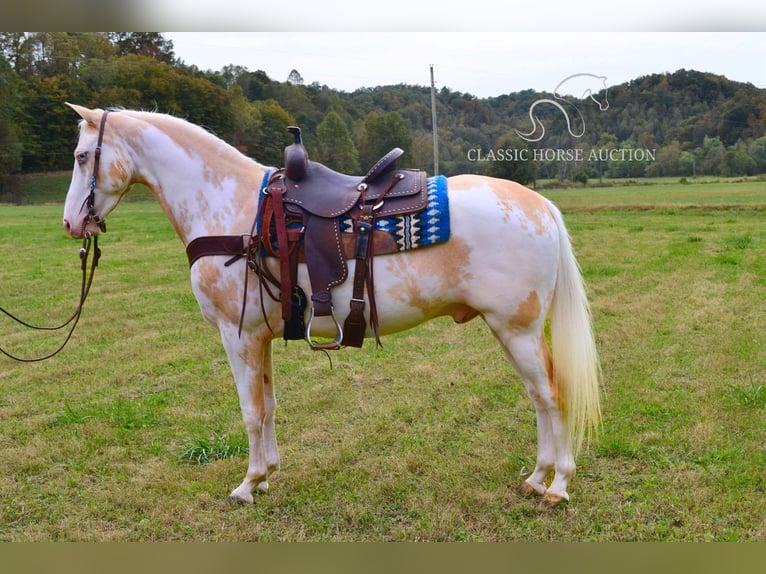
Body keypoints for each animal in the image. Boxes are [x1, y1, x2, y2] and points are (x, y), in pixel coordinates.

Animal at [63, 104, 604, 508]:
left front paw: (247, 484)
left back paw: (558, 484)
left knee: (552, 394)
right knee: (538, 398)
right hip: (511, 332)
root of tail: (540, 205)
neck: (229, 207)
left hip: (518, 330)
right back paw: (536, 477)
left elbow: (250, 412)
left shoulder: (237, 335)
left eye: (83, 155)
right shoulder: (261, 335)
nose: (71, 223)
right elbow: (269, 406)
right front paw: (267, 474)